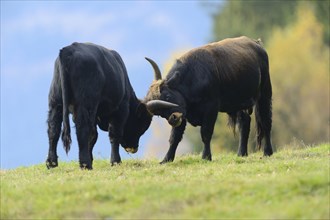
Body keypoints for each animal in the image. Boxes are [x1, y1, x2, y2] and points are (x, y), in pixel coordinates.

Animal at [46, 43, 177, 170]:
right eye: (142, 124)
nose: (133, 148)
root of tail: (68, 50)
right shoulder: (120, 111)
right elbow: (114, 134)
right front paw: (115, 161)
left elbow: (94, 136)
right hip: (85, 105)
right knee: (82, 129)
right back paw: (85, 164)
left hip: (55, 103)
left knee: (53, 128)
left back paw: (52, 163)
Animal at [145, 36, 274, 163]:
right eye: (159, 113)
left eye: (167, 96)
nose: (174, 118)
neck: (192, 77)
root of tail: (256, 43)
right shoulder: (183, 114)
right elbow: (174, 137)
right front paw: (166, 159)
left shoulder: (211, 108)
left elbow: (206, 133)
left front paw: (206, 157)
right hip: (239, 102)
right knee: (244, 122)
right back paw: (241, 153)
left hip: (265, 94)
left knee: (265, 121)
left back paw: (267, 152)